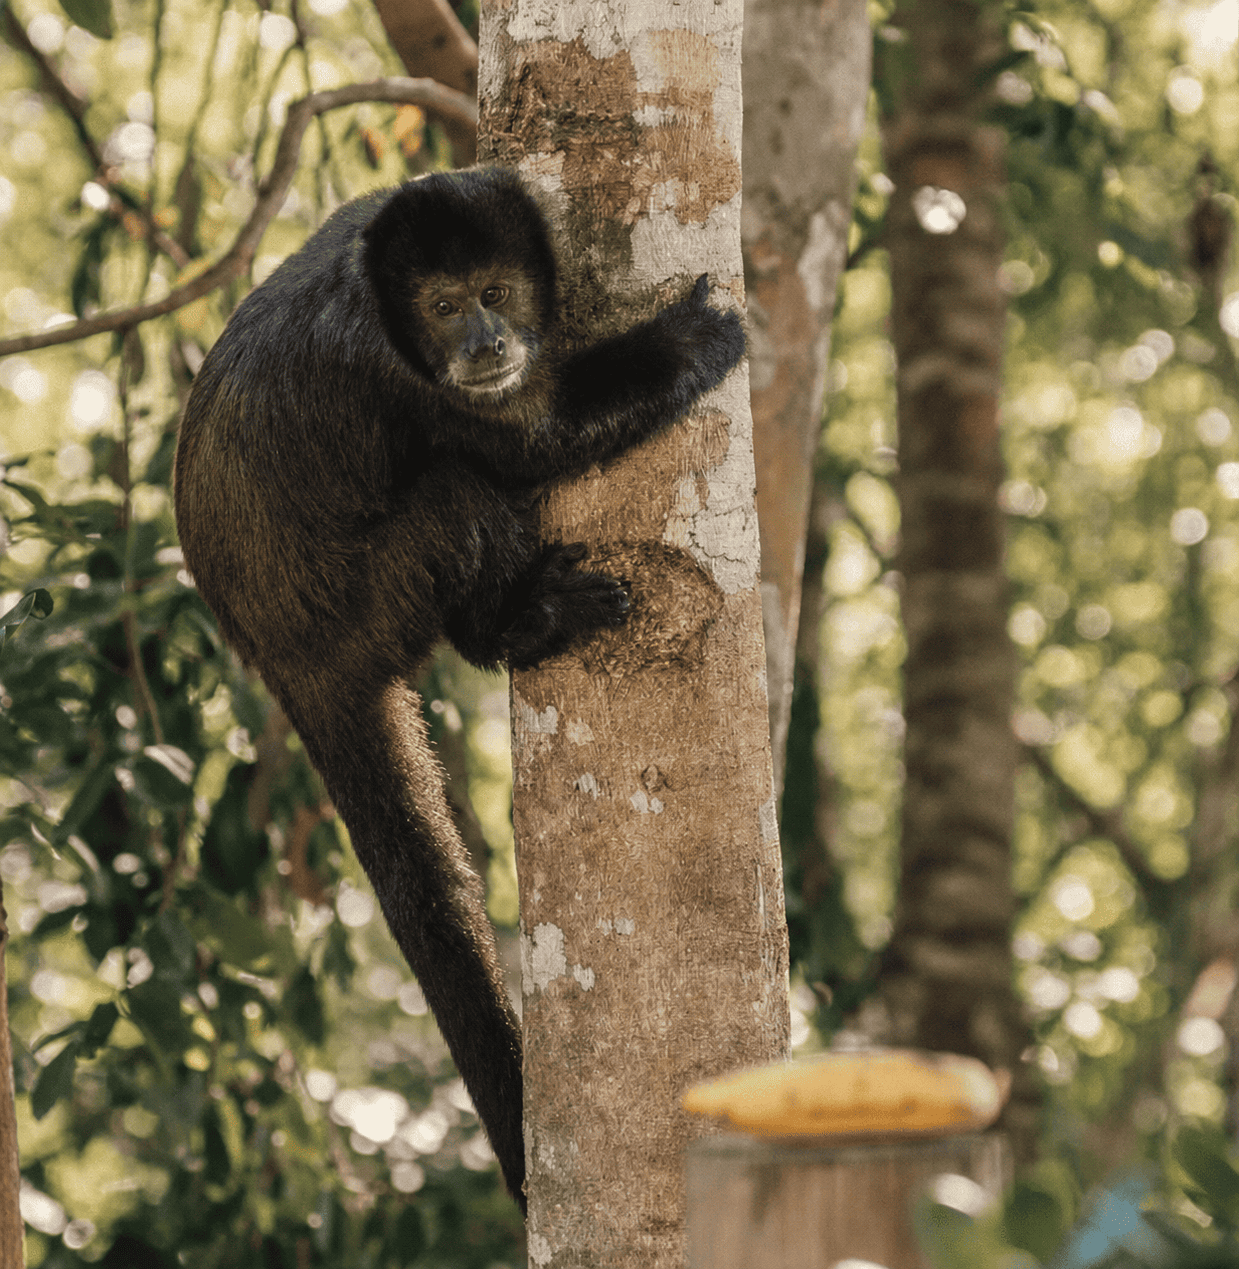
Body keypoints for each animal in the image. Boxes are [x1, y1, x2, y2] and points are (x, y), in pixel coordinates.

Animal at [173, 165, 746, 1215]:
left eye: (494, 291)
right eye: (443, 308)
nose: (484, 344)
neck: (387, 298)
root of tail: (286, 661)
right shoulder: (400, 373)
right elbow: (533, 444)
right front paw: (691, 342)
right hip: (370, 603)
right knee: (454, 490)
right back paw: (515, 625)